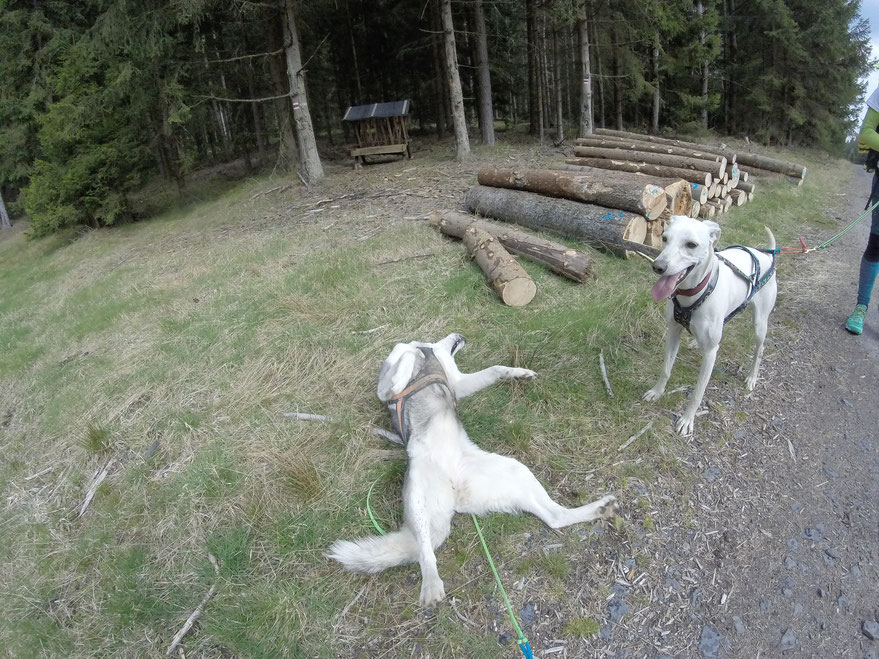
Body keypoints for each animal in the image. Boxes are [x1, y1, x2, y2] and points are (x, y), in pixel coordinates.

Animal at [328, 336, 620, 608]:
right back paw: (431, 583)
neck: (433, 354)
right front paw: (404, 374)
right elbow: (405, 351)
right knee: (425, 551)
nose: (459, 335)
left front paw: (519, 373)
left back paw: (600, 509)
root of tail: (455, 492)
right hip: (418, 495)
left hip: (516, 471)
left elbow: (492, 368)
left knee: (556, 517)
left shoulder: (458, 385)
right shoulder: (385, 388)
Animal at [644, 214, 780, 436]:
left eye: (691, 244)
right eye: (664, 238)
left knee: (760, 349)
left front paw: (687, 420)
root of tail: (766, 255)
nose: (658, 267)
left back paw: (752, 378)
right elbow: (665, 369)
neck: (695, 292)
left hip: (760, 324)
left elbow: (698, 392)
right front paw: (657, 392)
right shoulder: (673, 332)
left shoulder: (710, 354)